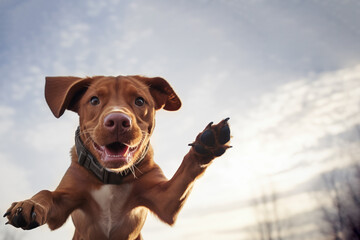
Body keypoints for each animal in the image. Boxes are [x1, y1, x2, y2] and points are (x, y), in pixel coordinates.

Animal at [3, 75, 231, 240]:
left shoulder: (166, 201)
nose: (119, 121)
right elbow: (46, 193)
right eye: (94, 100)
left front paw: (206, 145)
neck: (110, 177)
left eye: (140, 101)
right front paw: (29, 204)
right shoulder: (63, 204)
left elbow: (185, 172)